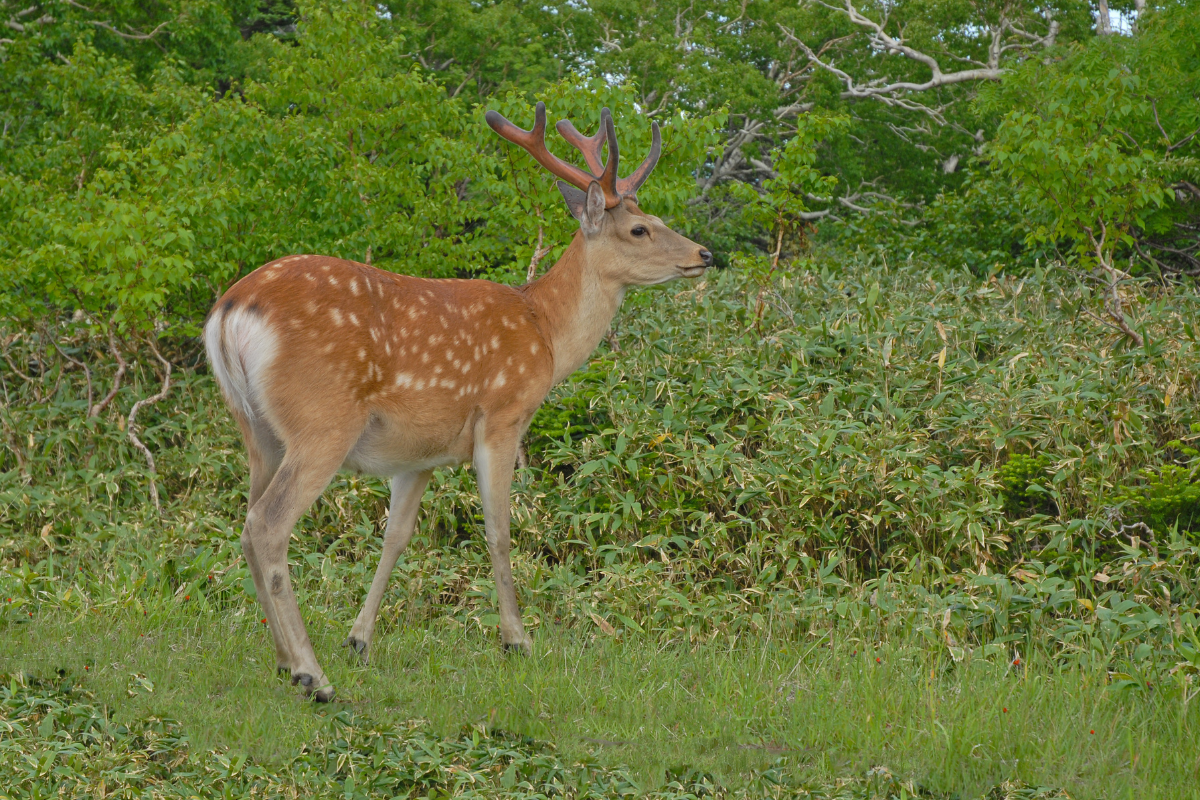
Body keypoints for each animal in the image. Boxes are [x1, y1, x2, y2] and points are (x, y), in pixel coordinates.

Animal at [202, 101, 710, 700]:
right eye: (639, 228)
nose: (705, 253)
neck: (545, 333)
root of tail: (231, 311)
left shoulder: (420, 453)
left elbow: (396, 537)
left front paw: (360, 639)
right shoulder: (502, 416)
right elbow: (500, 530)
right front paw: (517, 641)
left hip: (257, 430)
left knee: (247, 524)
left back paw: (285, 661)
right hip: (322, 421)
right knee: (268, 525)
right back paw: (312, 674)